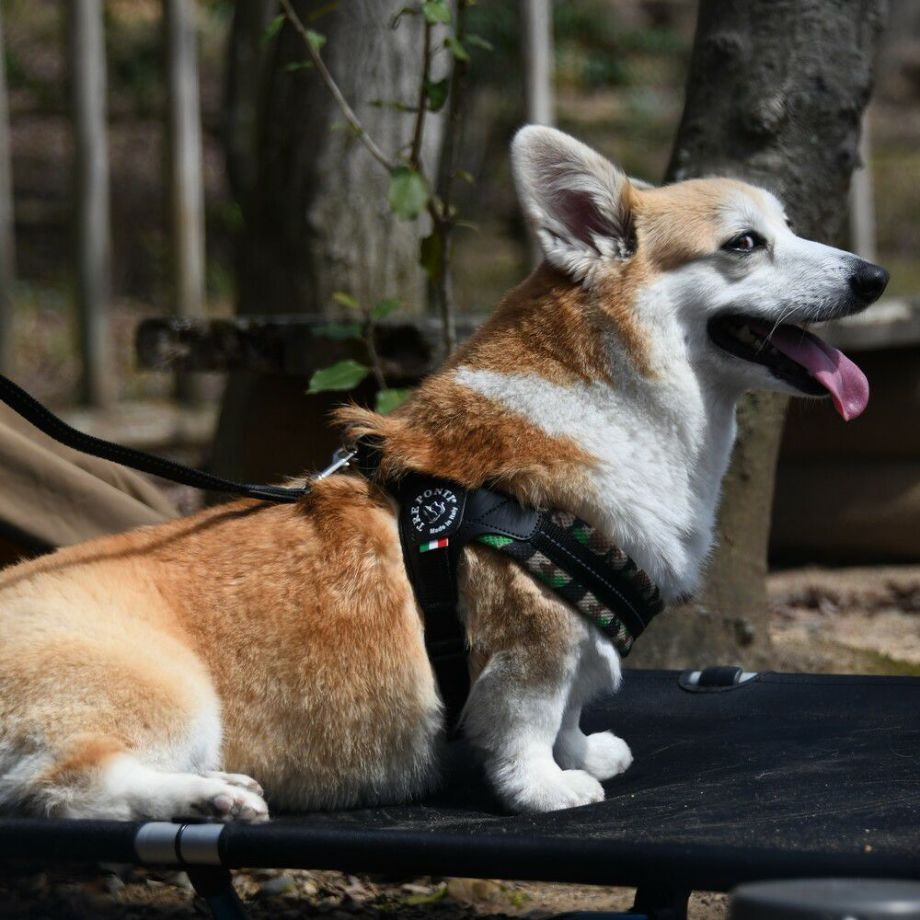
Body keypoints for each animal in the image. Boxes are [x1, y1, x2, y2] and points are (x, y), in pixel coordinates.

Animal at [0, 124, 888, 820]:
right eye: (744, 243)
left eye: (789, 227)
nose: (875, 277)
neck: (626, 397)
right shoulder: (530, 635)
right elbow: (530, 722)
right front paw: (548, 789)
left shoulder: (577, 637)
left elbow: (571, 712)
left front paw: (586, 752)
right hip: (170, 694)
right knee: (64, 787)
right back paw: (206, 797)